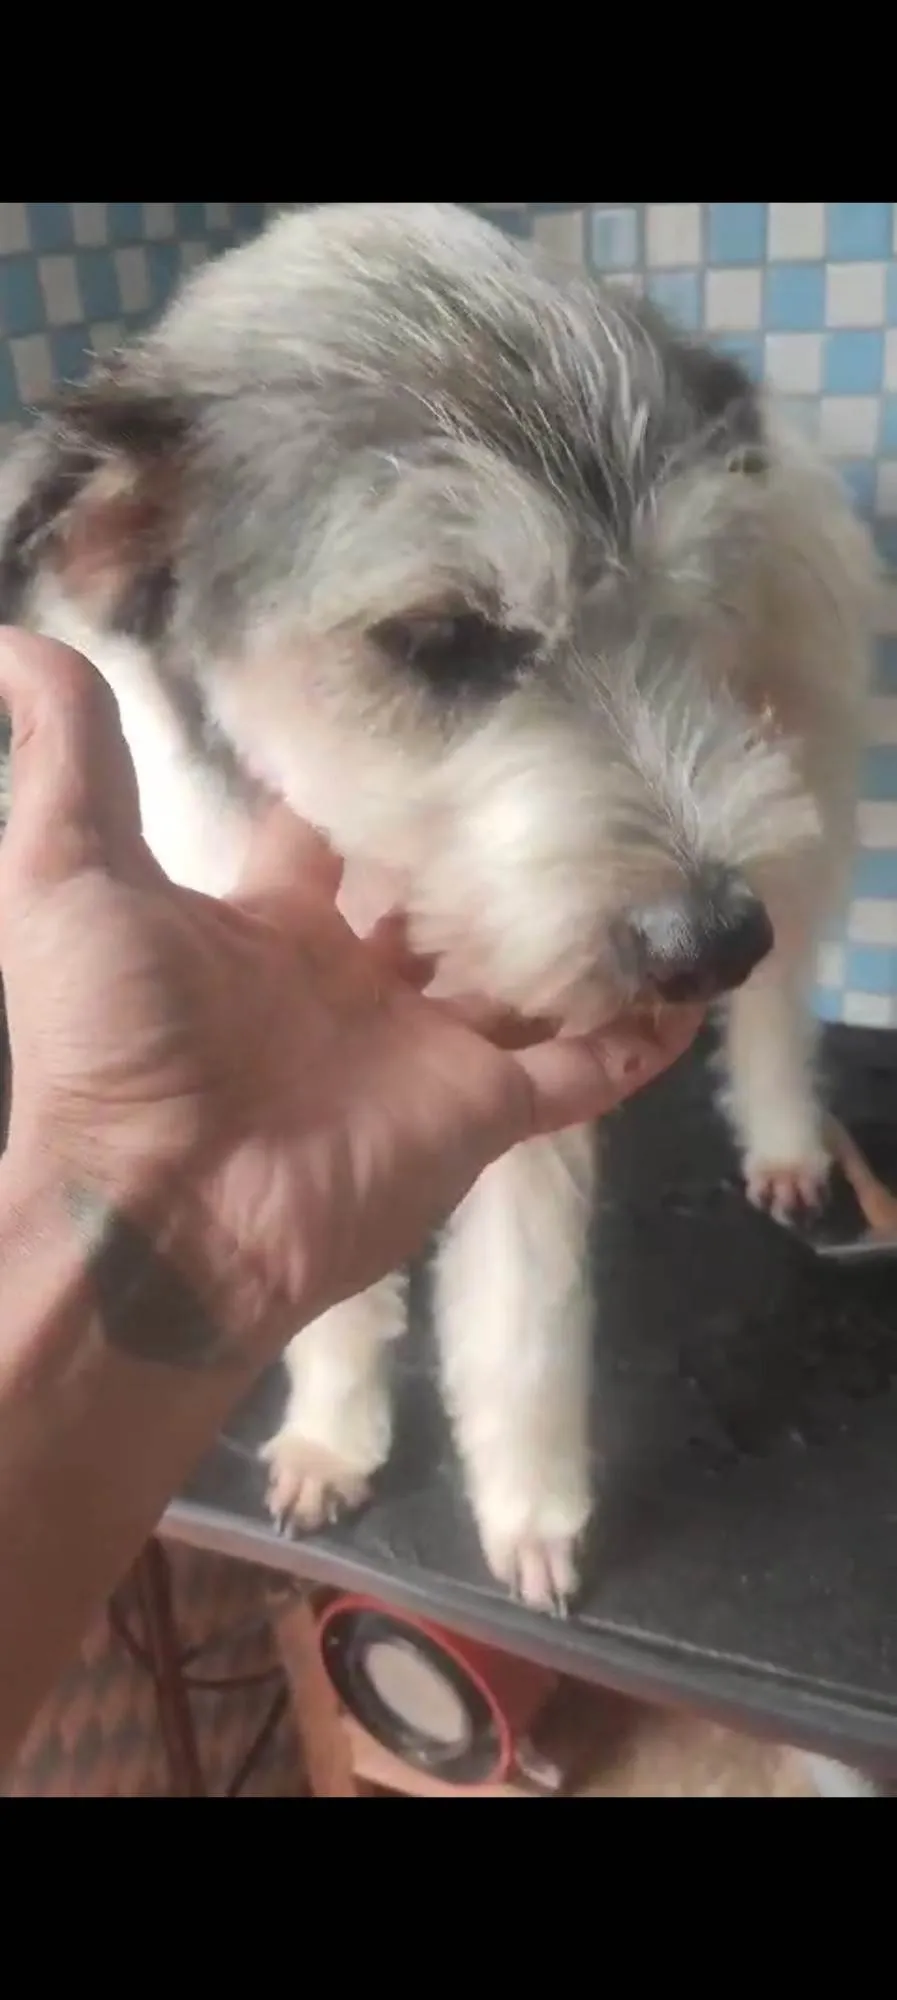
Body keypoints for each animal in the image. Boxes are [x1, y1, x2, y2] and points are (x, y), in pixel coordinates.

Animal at [0, 202, 877, 1610]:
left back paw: (789, 1135)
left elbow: (524, 1315)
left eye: (685, 611)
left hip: (803, 772)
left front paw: (531, 1507)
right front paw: (330, 1433)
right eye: (438, 638)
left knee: (787, 1000)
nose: (708, 942)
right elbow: (330, 1297)